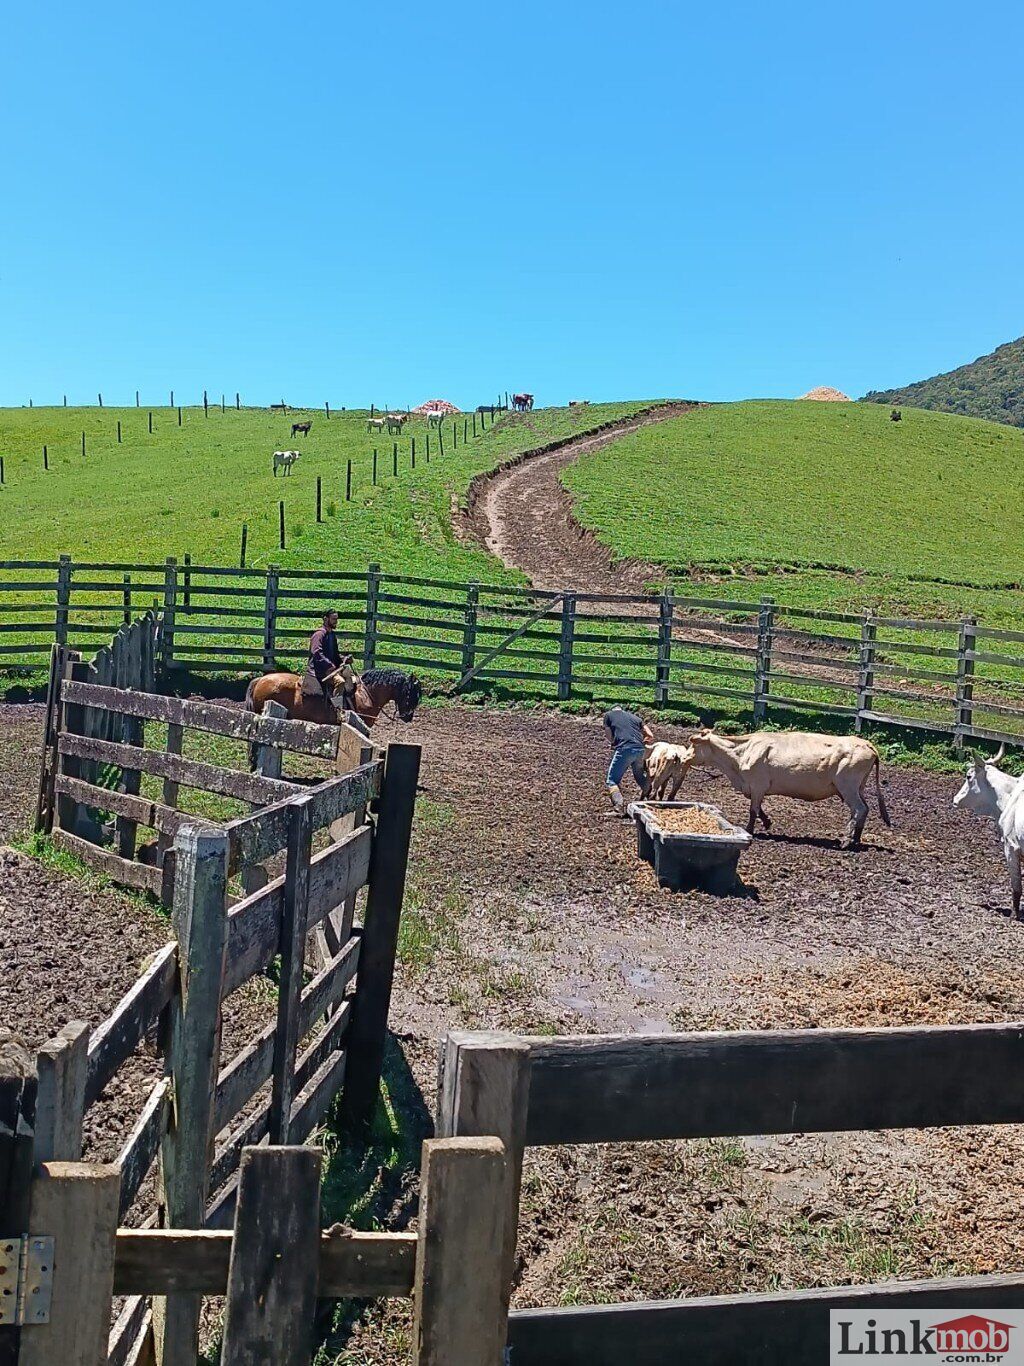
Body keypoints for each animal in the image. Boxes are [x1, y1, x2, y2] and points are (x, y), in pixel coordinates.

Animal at [685, 732, 895, 846]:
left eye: (693, 745)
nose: (685, 758)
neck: (741, 753)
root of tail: (867, 744)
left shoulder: (757, 784)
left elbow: (753, 810)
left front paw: (749, 829)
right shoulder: (756, 788)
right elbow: (758, 808)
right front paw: (767, 822)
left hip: (848, 787)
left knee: (859, 809)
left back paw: (846, 839)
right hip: (858, 787)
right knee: (864, 810)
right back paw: (856, 838)